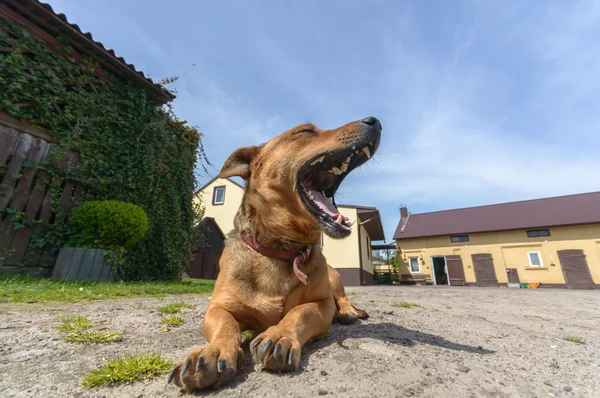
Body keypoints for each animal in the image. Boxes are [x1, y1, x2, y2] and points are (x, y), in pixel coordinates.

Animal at [169, 115, 382, 392]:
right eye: (305, 131)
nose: (374, 120)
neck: (282, 251)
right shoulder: (217, 308)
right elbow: (226, 323)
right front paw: (212, 351)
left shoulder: (322, 304)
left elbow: (299, 312)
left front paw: (280, 333)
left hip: (334, 277)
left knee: (342, 298)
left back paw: (346, 312)